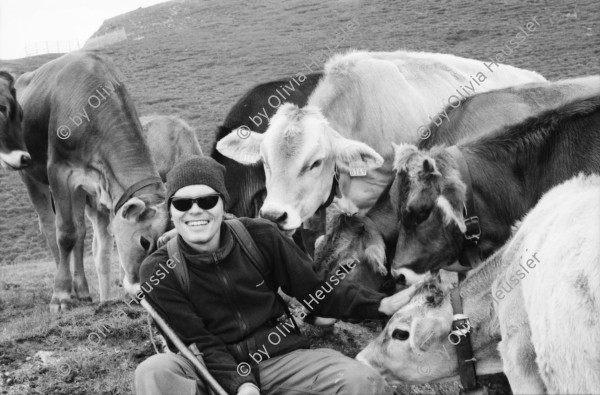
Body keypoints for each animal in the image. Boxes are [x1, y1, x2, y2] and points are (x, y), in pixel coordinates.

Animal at [15, 51, 169, 312]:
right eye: (144, 242)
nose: (143, 292)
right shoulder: (59, 170)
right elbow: (65, 233)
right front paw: (61, 295)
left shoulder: (84, 183)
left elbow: (76, 233)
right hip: (31, 175)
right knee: (50, 227)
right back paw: (66, 286)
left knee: (80, 232)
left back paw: (82, 290)